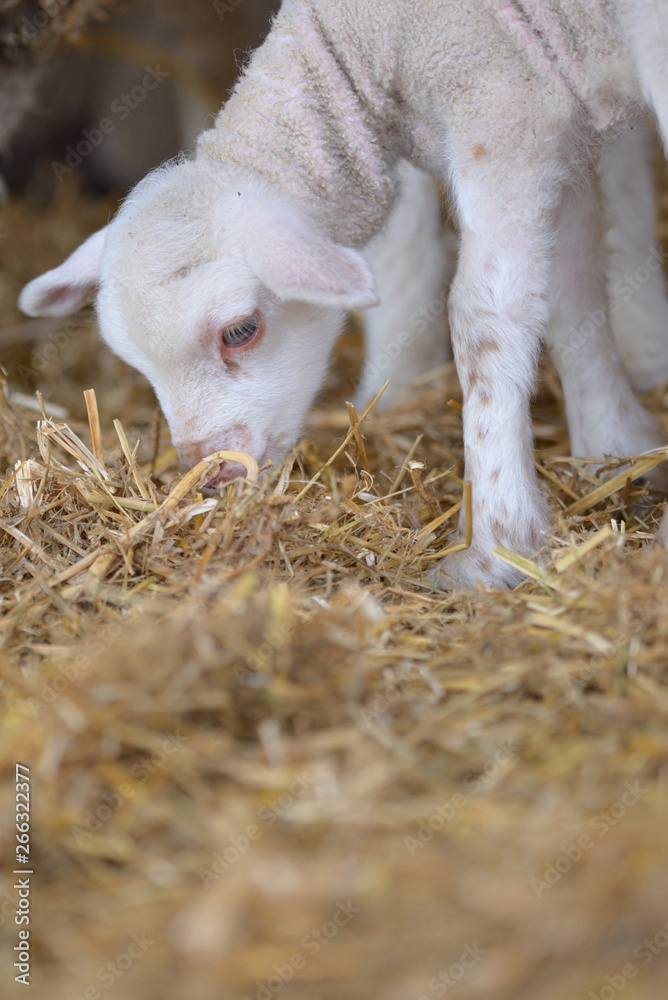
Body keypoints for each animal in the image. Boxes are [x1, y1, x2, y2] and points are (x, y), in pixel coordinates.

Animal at [18, 0, 668, 588]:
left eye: (240, 330)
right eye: (136, 364)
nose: (213, 476)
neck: (371, 35)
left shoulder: (505, 113)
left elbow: (485, 319)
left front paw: (497, 548)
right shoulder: (556, 120)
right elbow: (571, 288)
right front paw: (615, 445)